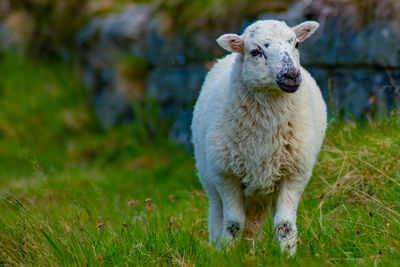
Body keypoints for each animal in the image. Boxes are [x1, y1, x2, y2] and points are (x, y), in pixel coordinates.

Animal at [191, 19, 328, 256]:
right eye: (255, 51)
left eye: (296, 44)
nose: (292, 75)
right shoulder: (226, 176)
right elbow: (233, 223)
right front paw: (227, 255)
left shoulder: (295, 174)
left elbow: (284, 224)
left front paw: (288, 255)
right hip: (209, 178)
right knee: (218, 215)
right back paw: (218, 247)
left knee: (253, 223)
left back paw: (249, 250)